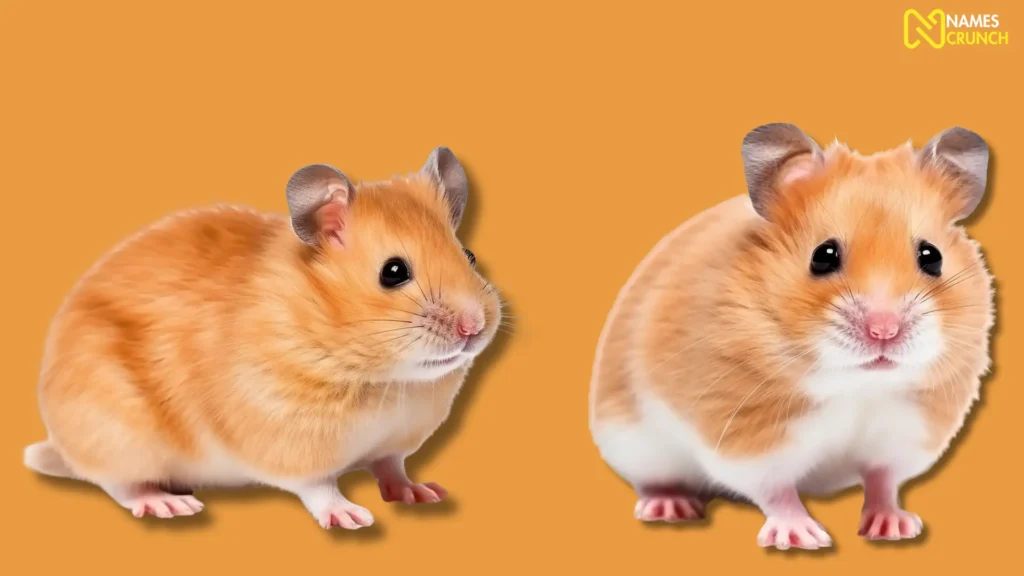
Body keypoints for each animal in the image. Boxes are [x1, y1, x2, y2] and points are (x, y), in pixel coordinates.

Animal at [24, 147, 503, 530]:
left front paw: (423, 494)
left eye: (469, 256)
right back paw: (170, 504)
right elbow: (319, 488)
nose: (474, 327)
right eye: (394, 272)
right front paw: (353, 518)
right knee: (119, 485)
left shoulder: (395, 440)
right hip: (119, 433)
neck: (387, 378)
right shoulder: (289, 441)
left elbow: (392, 468)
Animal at [589, 124, 994, 550]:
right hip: (633, 444)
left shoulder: (904, 434)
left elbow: (882, 481)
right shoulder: (748, 439)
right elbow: (776, 490)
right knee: (655, 481)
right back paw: (671, 507)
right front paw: (804, 537)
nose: (884, 331)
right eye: (823, 255)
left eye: (932, 256)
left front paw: (896, 527)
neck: (858, 385)